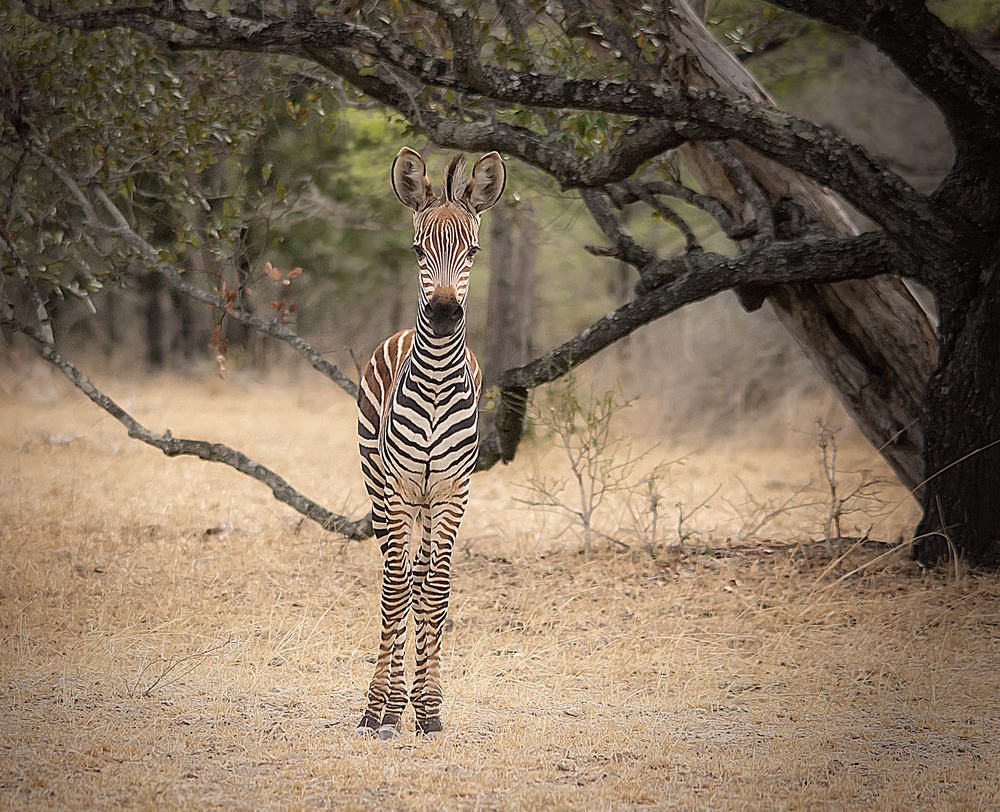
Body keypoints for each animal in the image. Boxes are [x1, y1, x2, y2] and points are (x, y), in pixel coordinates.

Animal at [356, 149, 504, 740]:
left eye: (474, 250)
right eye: (419, 249)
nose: (442, 314)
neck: (439, 378)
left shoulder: (452, 494)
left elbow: (434, 592)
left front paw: (431, 707)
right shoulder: (397, 490)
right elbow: (396, 593)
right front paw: (382, 710)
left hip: (428, 500)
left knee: (419, 580)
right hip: (378, 488)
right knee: (393, 578)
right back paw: (388, 704)